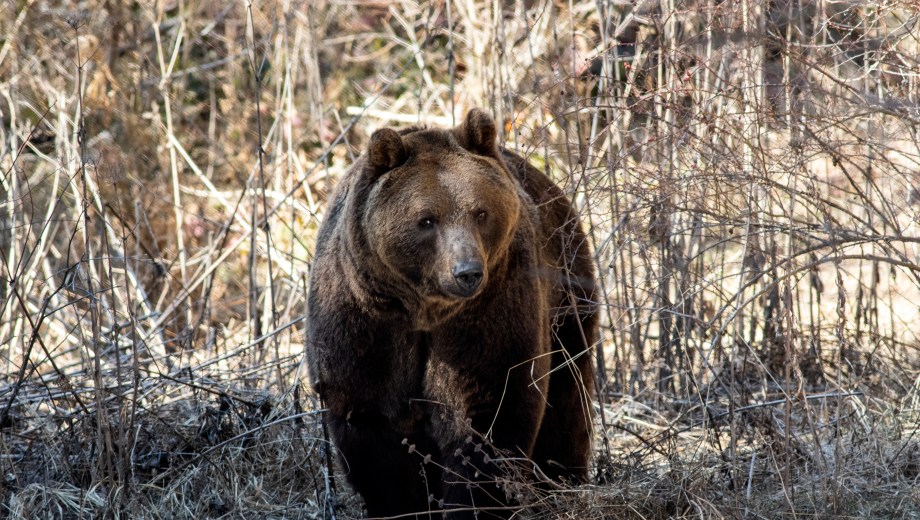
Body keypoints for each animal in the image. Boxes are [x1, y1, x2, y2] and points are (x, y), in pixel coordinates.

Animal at [306, 109, 598, 519]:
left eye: (481, 212)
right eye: (427, 219)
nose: (467, 271)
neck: (423, 310)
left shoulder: (487, 315)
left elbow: (486, 413)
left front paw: (472, 505)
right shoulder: (363, 323)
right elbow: (369, 426)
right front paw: (403, 506)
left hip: (568, 296)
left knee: (567, 398)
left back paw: (561, 483)